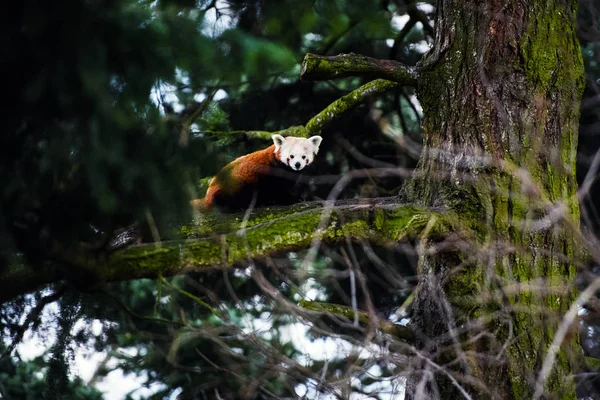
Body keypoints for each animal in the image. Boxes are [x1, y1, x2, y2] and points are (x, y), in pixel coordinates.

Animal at [191, 134, 324, 211]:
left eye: (303, 157)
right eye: (291, 156)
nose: (297, 164)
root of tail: (208, 194)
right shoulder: (272, 173)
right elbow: (277, 190)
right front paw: (291, 199)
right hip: (232, 187)